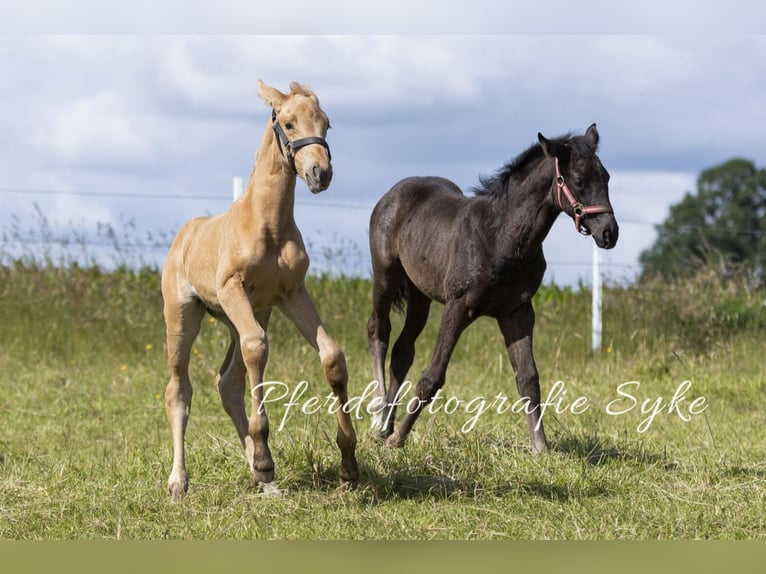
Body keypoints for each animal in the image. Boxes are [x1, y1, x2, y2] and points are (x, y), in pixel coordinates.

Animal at [162, 80, 360, 500]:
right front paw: (267, 463)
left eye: (327, 124)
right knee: (179, 390)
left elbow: (332, 355)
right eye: (287, 123)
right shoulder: (233, 290)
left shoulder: (290, 294)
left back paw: (255, 471)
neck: (267, 225)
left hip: (250, 314)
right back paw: (180, 482)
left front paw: (348, 465)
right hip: (184, 315)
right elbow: (258, 350)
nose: (320, 173)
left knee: (228, 382)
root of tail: (185, 234)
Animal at [368, 124, 620, 452]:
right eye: (579, 180)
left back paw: (385, 424)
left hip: (420, 293)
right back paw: (377, 418)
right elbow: (433, 376)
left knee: (402, 351)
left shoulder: (518, 312)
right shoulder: (458, 306)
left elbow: (528, 378)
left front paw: (541, 449)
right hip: (386, 274)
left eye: (607, 177)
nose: (609, 233)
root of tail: (394, 192)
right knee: (378, 330)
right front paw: (397, 440)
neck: (502, 237)